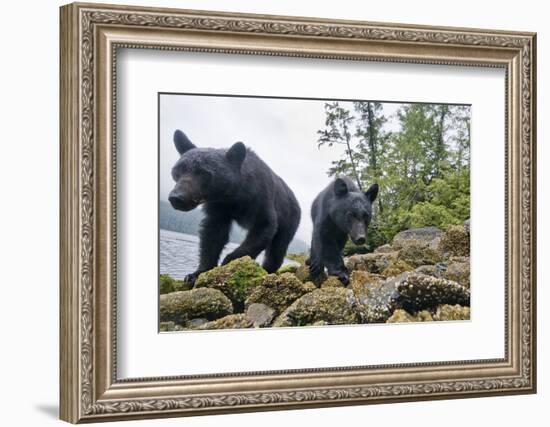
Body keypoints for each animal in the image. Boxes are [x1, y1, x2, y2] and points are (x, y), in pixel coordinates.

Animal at [168, 129, 302, 286]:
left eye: (204, 173)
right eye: (177, 170)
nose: (177, 197)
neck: (233, 194)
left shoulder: (260, 196)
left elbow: (264, 227)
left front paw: (230, 261)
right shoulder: (219, 206)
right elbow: (213, 233)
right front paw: (196, 273)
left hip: (290, 218)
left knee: (278, 248)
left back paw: (268, 270)